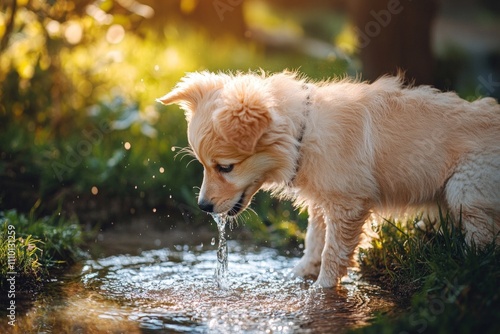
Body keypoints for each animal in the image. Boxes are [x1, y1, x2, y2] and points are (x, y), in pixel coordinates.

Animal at [158, 70, 500, 288]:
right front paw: (298, 275)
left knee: (482, 239)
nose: (203, 206)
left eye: (225, 168)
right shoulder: (324, 201)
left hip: (465, 189)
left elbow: (333, 252)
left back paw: (465, 267)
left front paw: (320, 289)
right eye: (204, 165)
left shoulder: (347, 204)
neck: (303, 135)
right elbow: (314, 240)